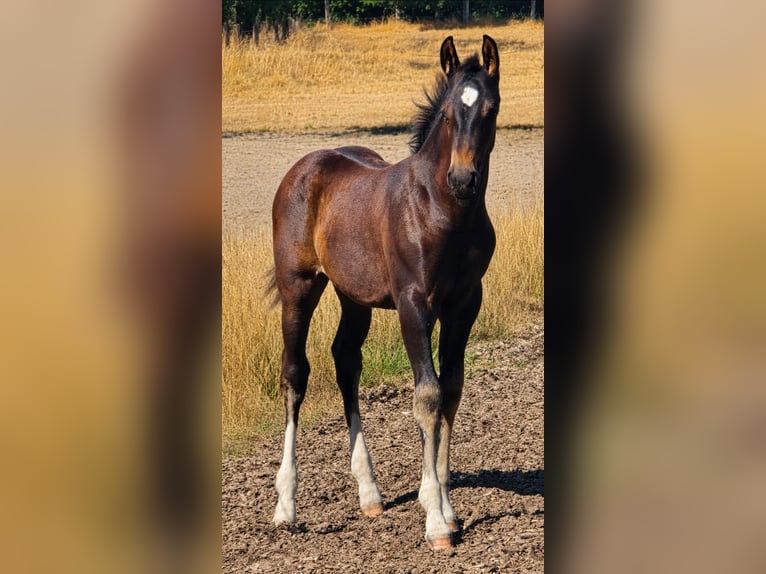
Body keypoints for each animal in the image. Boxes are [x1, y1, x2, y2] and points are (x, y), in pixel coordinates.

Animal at [270, 35, 500, 550]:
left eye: (490, 110)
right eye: (449, 114)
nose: (463, 180)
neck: (442, 211)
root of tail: (303, 167)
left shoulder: (464, 305)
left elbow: (451, 390)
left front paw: (448, 510)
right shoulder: (414, 305)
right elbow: (427, 395)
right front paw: (435, 521)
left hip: (353, 297)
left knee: (345, 360)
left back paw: (370, 494)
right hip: (299, 286)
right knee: (295, 374)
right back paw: (285, 505)